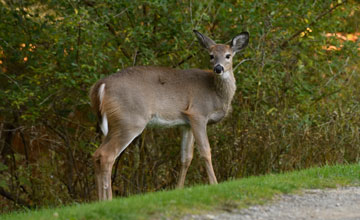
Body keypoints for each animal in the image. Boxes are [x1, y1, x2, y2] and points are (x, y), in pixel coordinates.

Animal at [89, 30, 250, 200]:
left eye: (228, 55)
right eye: (211, 55)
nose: (218, 68)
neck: (215, 93)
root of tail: (101, 85)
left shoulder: (186, 123)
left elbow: (186, 157)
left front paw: (178, 189)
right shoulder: (198, 113)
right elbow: (205, 151)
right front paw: (214, 184)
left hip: (116, 124)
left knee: (96, 154)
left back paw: (100, 200)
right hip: (130, 120)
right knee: (106, 155)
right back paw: (108, 199)